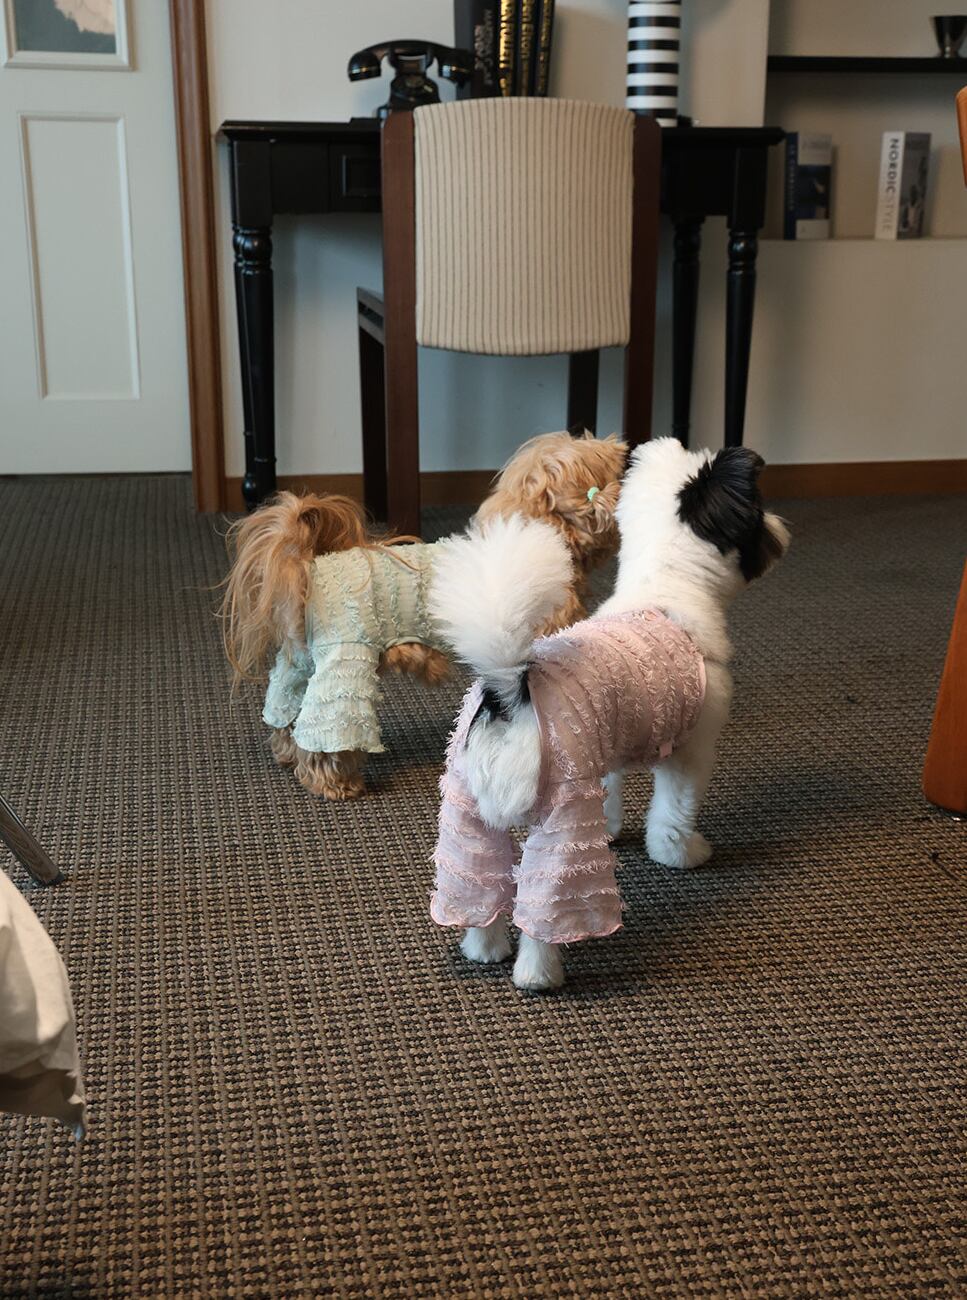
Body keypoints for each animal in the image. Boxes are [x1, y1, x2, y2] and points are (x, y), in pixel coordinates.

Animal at [220, 430, 627, 799]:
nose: (623, 452)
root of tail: (313, 566)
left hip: (300, 664)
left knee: (286, 712)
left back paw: (287, 753)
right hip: (345, 663)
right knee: (328, 729)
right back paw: (334, 782)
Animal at [427, 439, 790, 991]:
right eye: (757, 512)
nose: (780, 526)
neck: (666, 588)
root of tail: (508, 692)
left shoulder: (607, 752)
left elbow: (615, 796)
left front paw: (615, 831)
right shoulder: (690, 755)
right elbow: (673, 814)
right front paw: (681, 854)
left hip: (467, 816)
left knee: (479, 892)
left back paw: (483, 948)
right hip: (562, 818)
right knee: (544, 911)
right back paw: (538, 972)